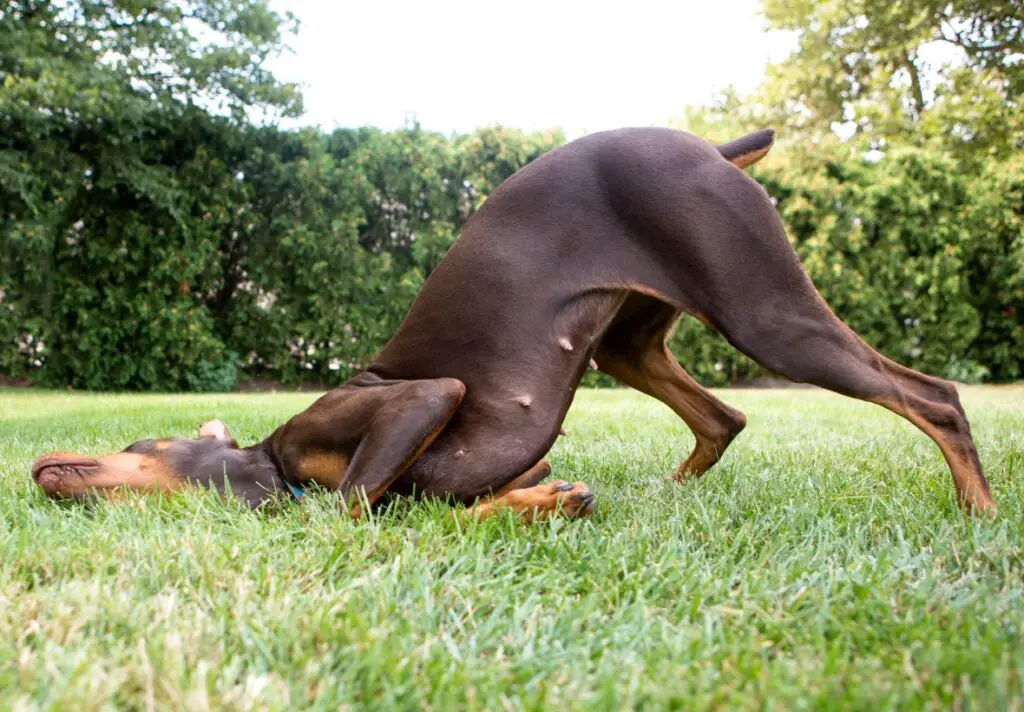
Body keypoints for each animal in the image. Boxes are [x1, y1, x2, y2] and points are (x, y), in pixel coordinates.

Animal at [29, 128, 991, 518]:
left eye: (139, 443)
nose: (35, 465)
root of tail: (712, 147)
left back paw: (977, 515)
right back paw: (668, 491)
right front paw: (542, 501)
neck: (268, 464)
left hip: (764, 310)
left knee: (933, 396)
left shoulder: (419, 399)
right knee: (724, 415)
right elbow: (448, 502)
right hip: (624, 343)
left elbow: (345, 507)